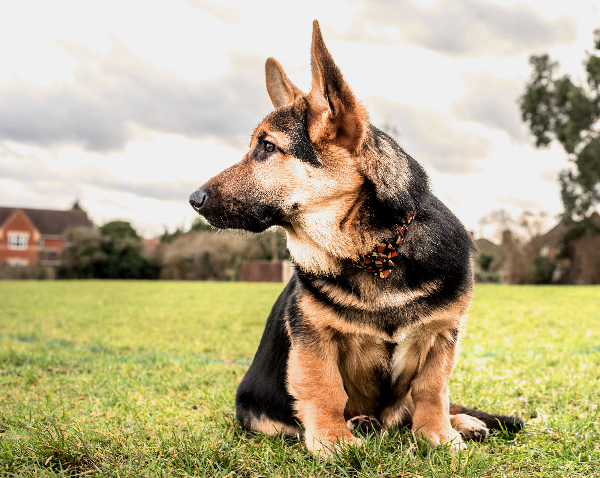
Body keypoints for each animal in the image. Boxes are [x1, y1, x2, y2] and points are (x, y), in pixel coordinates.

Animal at [190, 21, 524, 456]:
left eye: (267, 147)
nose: (193, 199)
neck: (376, 253)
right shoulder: (314, 339)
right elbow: (325, 388)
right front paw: (334, 440)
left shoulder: (441, 334)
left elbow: (433, 390)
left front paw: (437, 435)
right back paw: (363, 423)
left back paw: (461, 422)